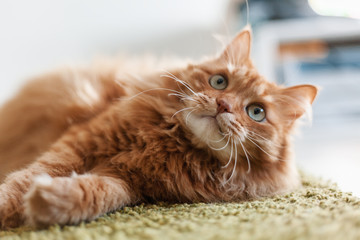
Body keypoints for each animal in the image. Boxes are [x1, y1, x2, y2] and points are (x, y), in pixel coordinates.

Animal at [0, 26, 316, 229]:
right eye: (219, 82)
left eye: (256, 112)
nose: (223, 105)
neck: (166, 144)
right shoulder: (79, 142)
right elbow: (26, 179)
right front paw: (10, 208)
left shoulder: (129, 184)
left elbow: (96, 193)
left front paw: (48, 202)